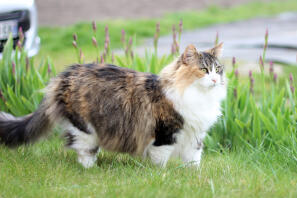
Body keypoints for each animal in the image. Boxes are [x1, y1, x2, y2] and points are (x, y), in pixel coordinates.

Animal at [0, 43, 224, 167]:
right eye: (204, 70)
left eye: (218, 69)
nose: (215, 79)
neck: (199, 97)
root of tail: (65, 74)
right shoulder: (165, 133)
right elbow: (159, 161)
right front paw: (161, 176)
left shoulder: (195, 136)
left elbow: (194, 161)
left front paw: (193, 176)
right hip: (85, 128)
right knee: (83, 151)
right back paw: (90, 169)